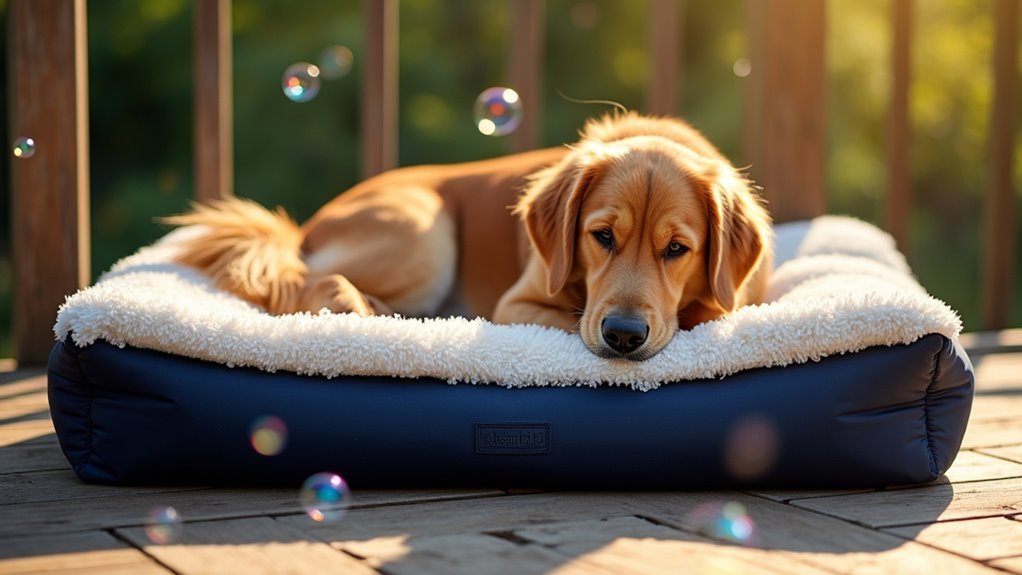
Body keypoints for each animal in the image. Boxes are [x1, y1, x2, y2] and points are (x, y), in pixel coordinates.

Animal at [167, 113, 768, 359]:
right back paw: (361, 311)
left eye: (677, 249)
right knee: (305, 287)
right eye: (601, 236)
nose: (623, 335)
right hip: (423, 233)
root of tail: (305, 226)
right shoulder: (518, 304)